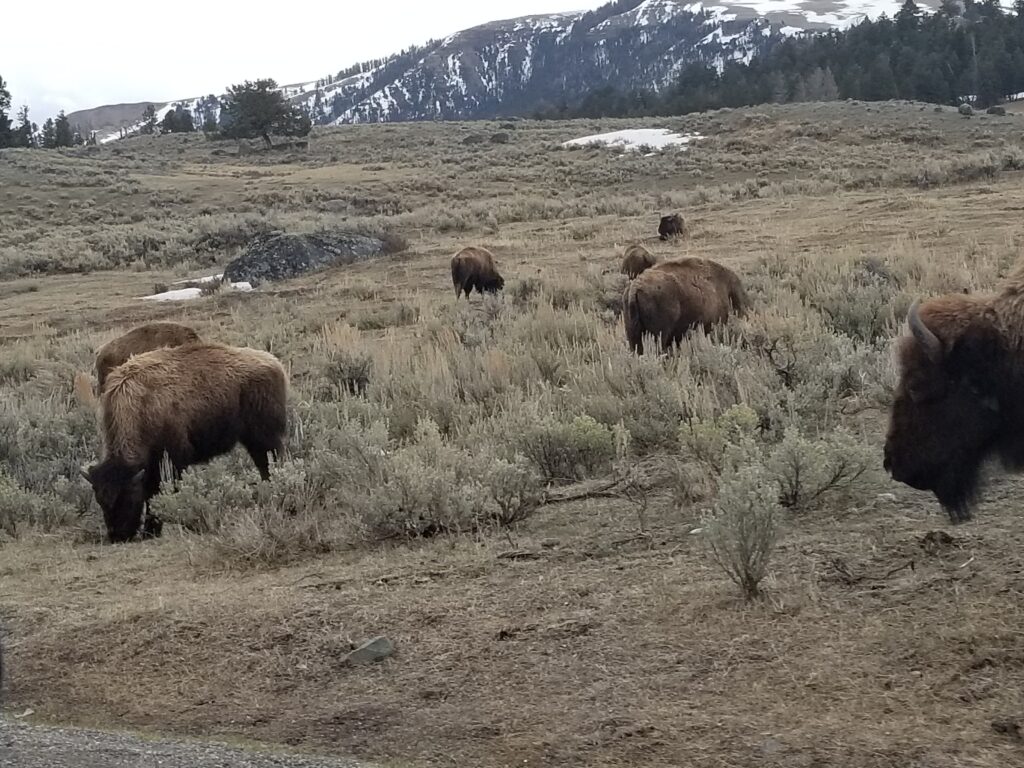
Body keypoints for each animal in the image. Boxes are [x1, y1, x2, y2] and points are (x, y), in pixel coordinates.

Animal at [78, 342, 288, 548]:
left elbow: (158, 492)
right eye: (100, 500)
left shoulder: (171, 461)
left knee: (270, 463)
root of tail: (274, 363)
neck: (140, 407)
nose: (118, 536)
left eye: (128, 498)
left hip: (263, 437)